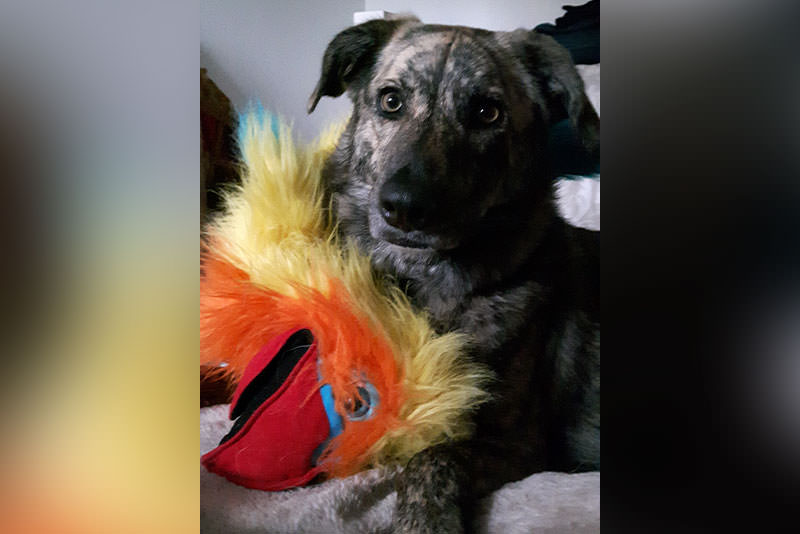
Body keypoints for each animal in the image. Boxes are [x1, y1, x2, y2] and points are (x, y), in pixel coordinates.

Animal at [306, 16, 600, 534]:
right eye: (391, 101)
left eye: (487, 112)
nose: (404, 207)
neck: (425, 283)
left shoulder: (518, 442)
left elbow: (432, 457)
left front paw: (424, 520)